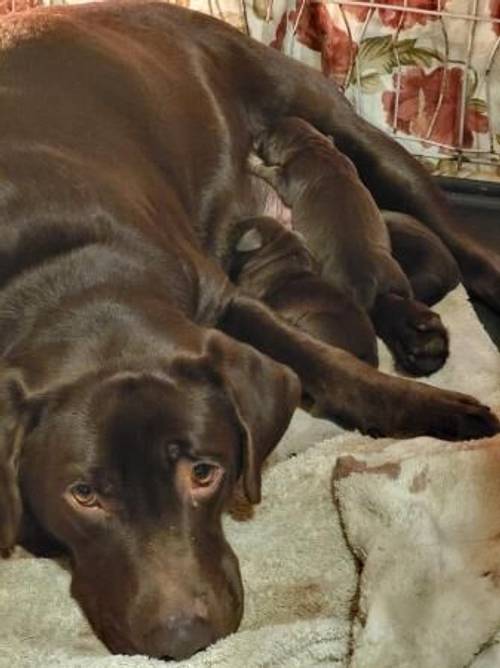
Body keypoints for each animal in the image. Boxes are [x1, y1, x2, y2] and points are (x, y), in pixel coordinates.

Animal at [0, 2, 498, 660]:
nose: (184, 636)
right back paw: (414, 330)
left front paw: (436, 410)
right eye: (83, 494)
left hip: (357, 137)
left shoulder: (223, 299)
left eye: (204, 473)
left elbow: (328, 364)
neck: (66, 282)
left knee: (471, 252)